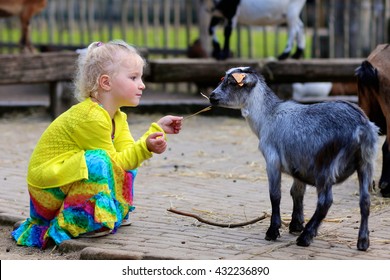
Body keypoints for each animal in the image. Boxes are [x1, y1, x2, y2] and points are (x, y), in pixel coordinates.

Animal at [209, 66, 380, 250]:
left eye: (232, 83)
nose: (212, 96)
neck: (266, 116)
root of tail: (361, 126)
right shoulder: (299, 165)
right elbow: (296, 192)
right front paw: (296, 224)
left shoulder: (272, 160)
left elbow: (275, 195)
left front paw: (273, 231)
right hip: (366, 162)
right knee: (365, 200)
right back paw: (363, 241)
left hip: (325, 166)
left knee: (325, 201)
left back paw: (306, 237)